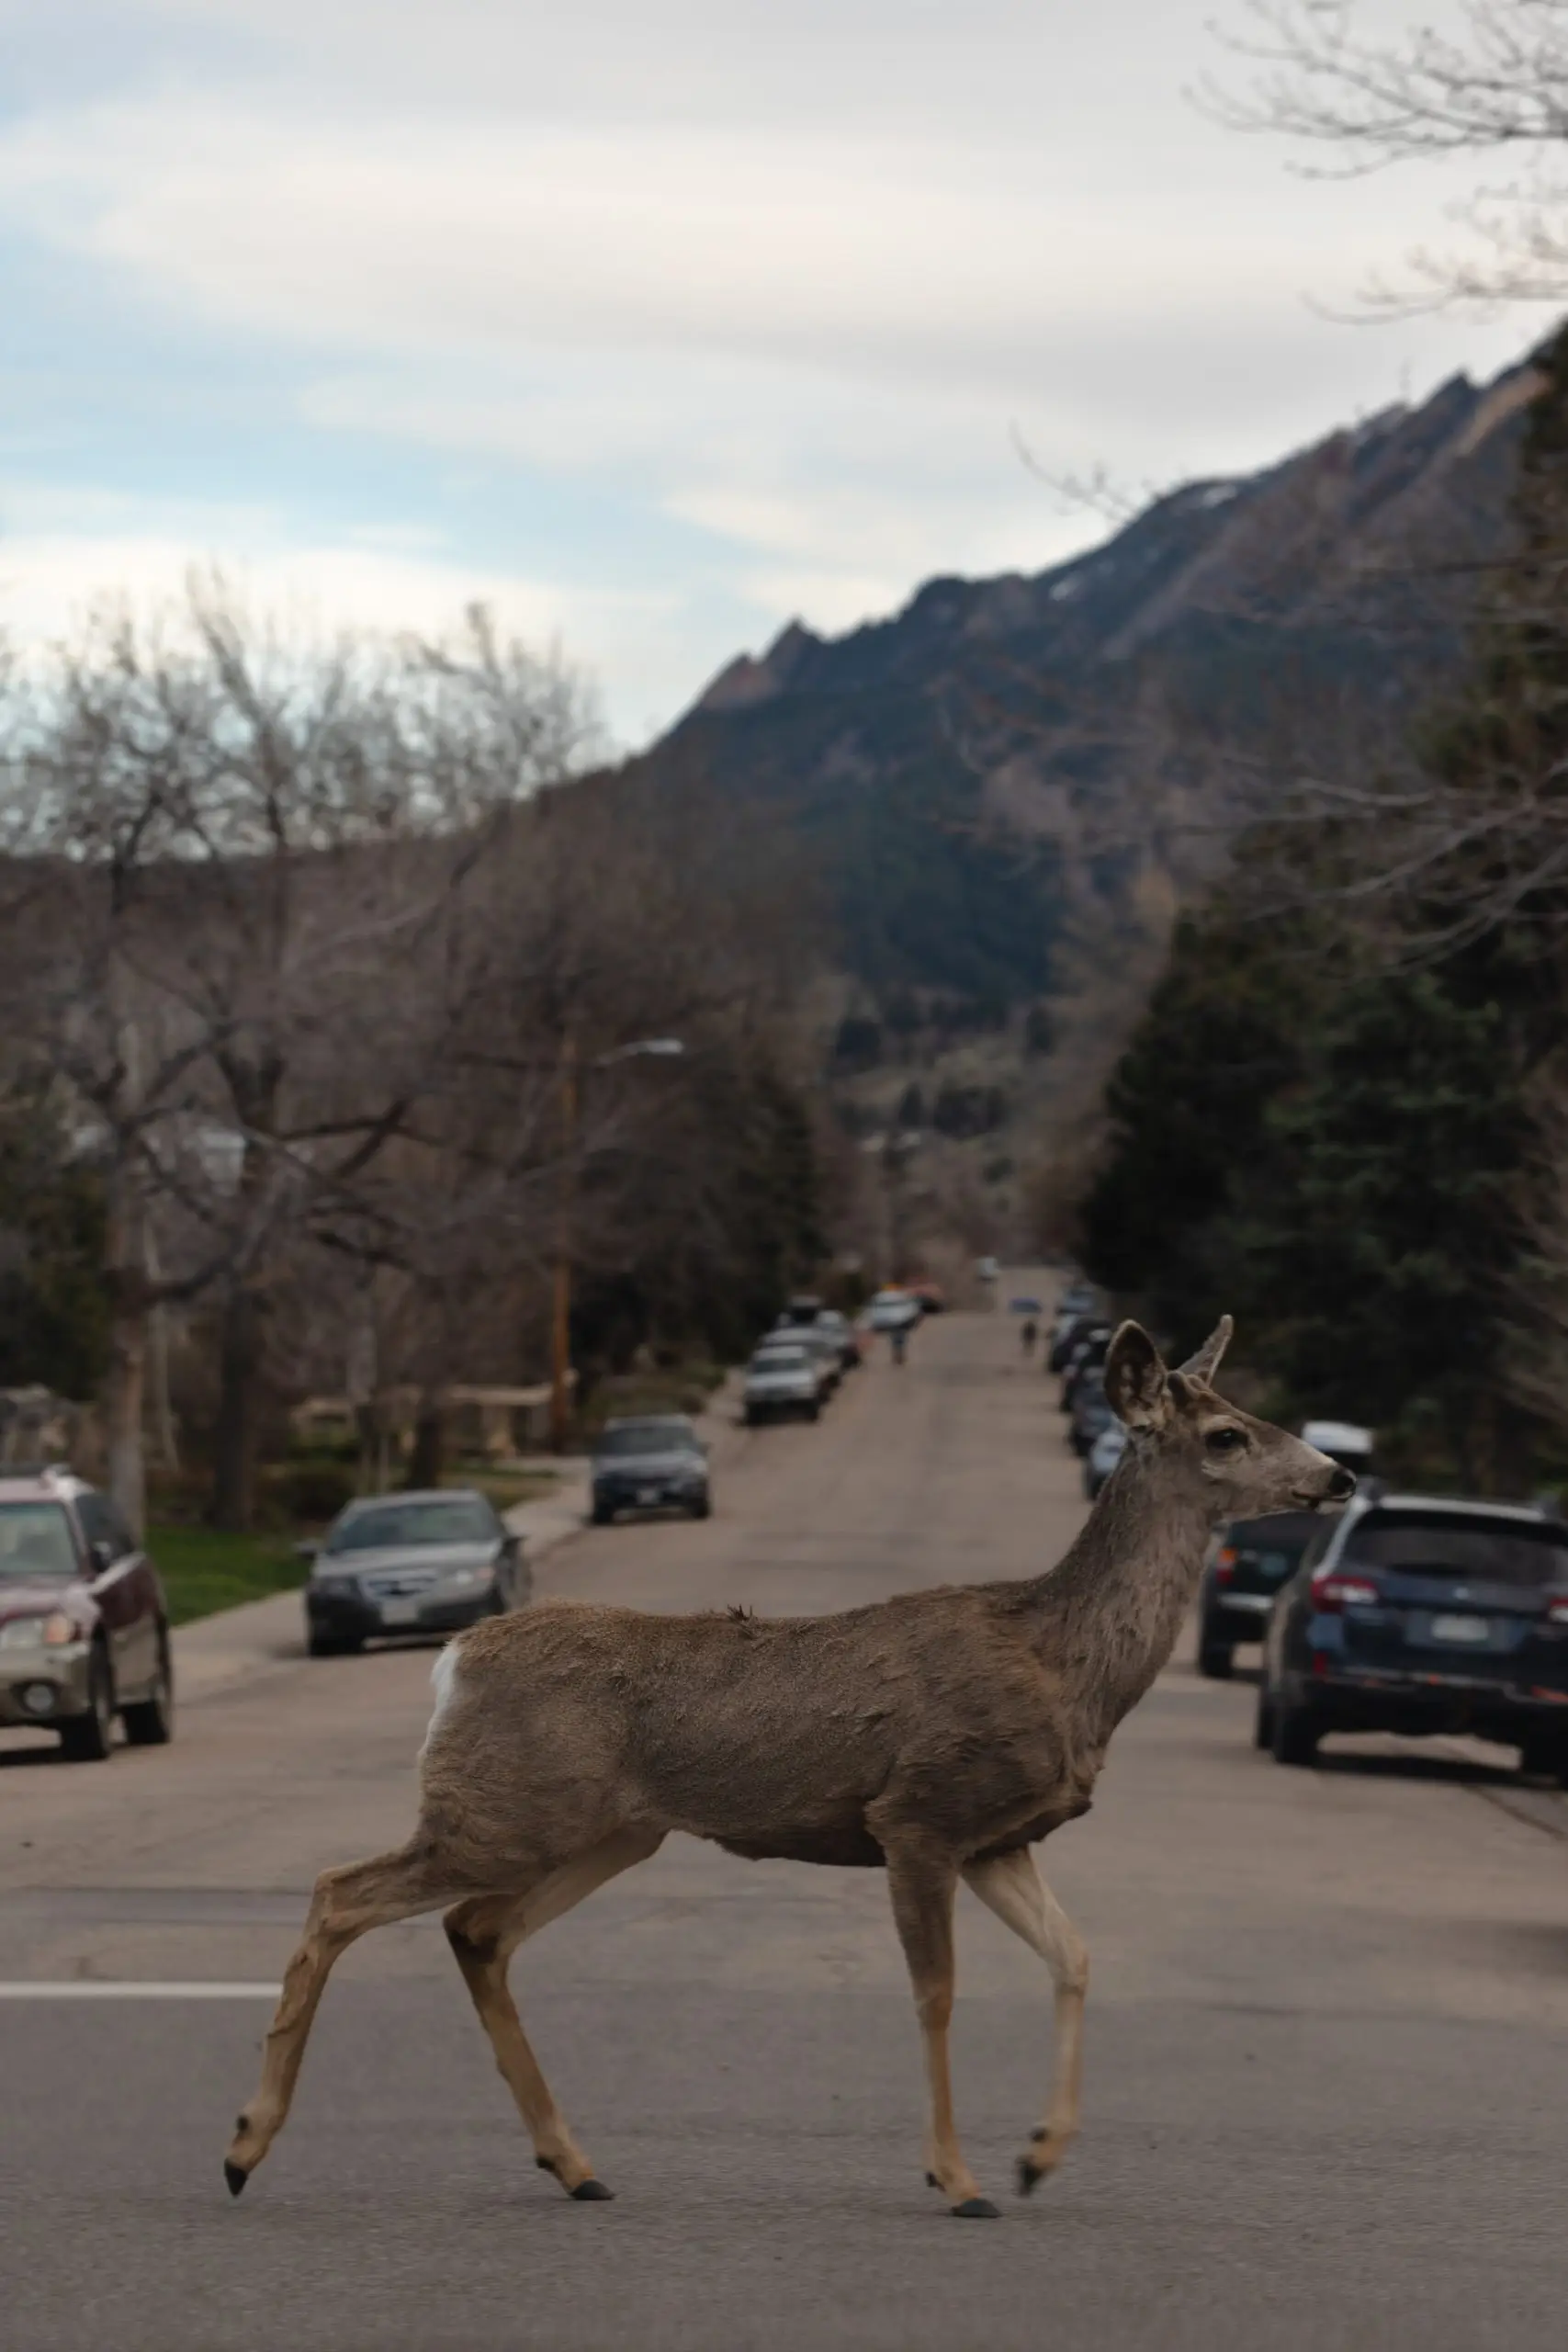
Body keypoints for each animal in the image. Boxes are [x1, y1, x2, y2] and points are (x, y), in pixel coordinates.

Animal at [223, 1316, 1352, 2218]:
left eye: (1247, 1412)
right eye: (1225, 1433)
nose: (1338, 1474)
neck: (1062, 1663)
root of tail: (455, 1657)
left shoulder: (999, 1838)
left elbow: (1074, 1956)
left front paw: (1038, 2156)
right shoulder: (917, 1815)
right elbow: (936, 1992)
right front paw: (960, 2178)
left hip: (607, 1831)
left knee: (475, 1930)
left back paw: (574, 2164)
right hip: (501, 1810)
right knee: (340, 1891)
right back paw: (244, 2146)